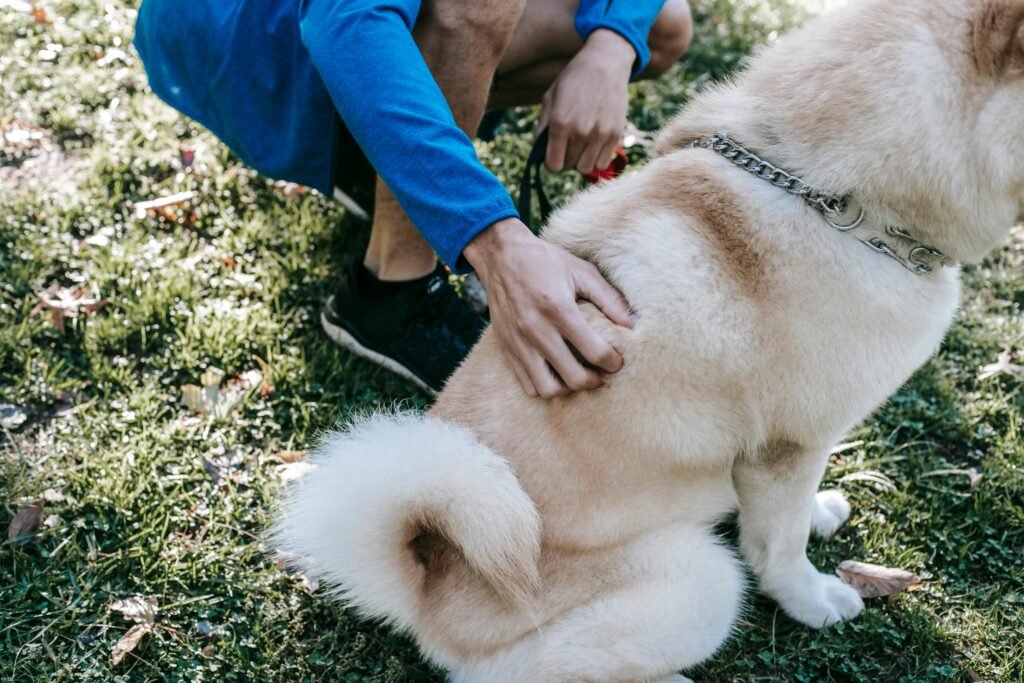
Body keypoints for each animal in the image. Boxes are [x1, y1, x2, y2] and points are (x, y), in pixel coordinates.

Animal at [270, 2, 1024, 679]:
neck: (833, 199)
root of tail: (428, 582)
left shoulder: (792, 453)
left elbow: (793, 512)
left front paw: (820, 513)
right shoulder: (787, 446)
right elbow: (777, 549)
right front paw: (814, 600)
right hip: (701, 581)